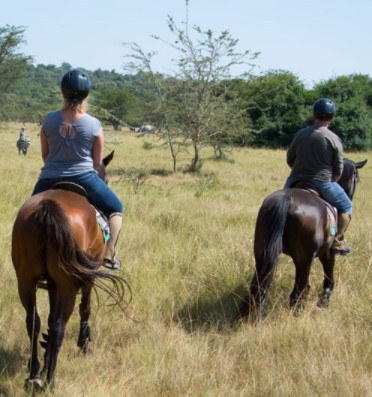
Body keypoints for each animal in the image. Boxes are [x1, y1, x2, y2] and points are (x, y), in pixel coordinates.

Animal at [11, 151, 128, 390]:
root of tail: (47, 208)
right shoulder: (87, 277)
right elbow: (85, 309)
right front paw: (84, 346)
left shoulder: (52, 283)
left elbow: (48, 317)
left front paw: (46, 355)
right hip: (68, 285)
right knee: (59, 325)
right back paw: (50, 380)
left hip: (25, 281)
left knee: (33, 321)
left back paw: (35, 371)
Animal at [238, 156, 366, 320]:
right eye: (357, 177)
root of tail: (286, 199)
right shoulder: (327, 252)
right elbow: (328, 275)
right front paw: (324, 300)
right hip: (304, 258)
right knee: (295, 295)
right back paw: (297, 314)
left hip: (263, 252)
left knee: (259, 287)